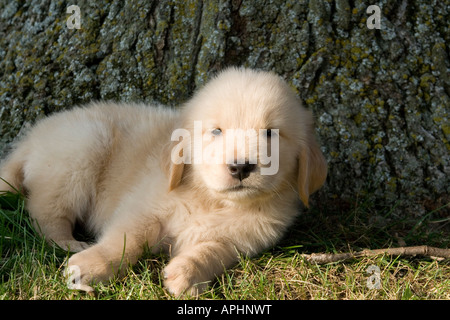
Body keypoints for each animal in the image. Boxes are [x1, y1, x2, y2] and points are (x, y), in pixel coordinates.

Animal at [0, 67, 326, 296]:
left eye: (271, 133)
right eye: (216, 131)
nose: (240, 167)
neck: (213, 200)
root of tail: (29, 139)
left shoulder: (241, 241)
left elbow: (212, 251)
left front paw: (187, 274)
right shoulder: (142, 211)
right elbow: (123, 241)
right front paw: (90, 266)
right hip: (83, 146)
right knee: (45, 214)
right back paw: (69, 244)